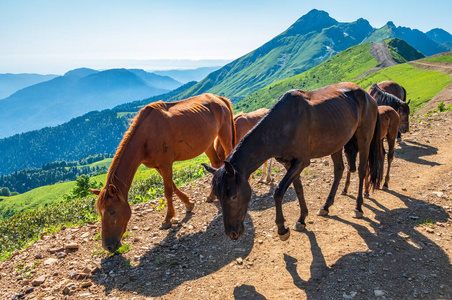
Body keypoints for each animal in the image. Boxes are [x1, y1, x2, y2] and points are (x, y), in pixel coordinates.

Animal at [89, 93, 235, 251]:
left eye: (112, 211)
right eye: (100, 213)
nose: (108, 246)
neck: (146, 135)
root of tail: (219, 98)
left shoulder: (166, 164)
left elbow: (168, 191)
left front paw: (168, 219)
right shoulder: (158, 166)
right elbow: (173, 186)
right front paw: (188, 203)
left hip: (225, 133)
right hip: (207, 143)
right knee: (216, 163)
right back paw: (211, 195)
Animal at [203, 82, 384, 241]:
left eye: (233, 195)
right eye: (218, 196)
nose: (232, 234)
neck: (282, 125)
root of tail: (367, 95)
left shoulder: (301, 162)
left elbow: (279, 191)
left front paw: (282, 229)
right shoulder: (289, 163)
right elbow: (298, 189)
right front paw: (301, 219)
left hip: (364, 139)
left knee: (362, 170)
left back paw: (358, 207)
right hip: (336, 143)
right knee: (339, 170)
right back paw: (326, 206)